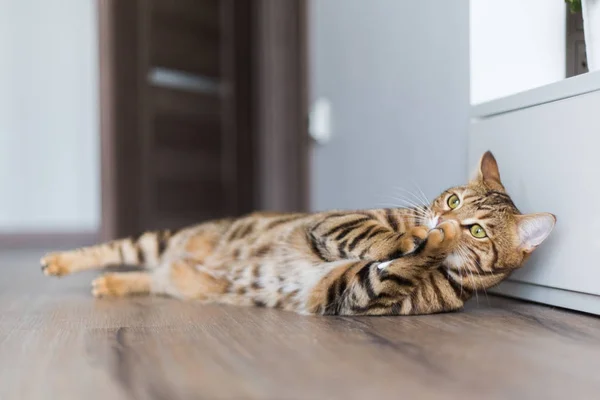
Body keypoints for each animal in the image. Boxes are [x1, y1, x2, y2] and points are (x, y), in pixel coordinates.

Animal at [41, 151, 556, 316]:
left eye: (477, 229)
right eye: (452, 202)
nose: (441, 222)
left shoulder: (353, 292)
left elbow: (395, 268)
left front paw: (435, 244)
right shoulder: (332, 223)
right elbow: (379, 236)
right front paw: (415, 236)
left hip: (171, 275)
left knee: (153, 279)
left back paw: (114, 283)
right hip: (161, 240)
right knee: (118, 250)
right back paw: (61, 262)